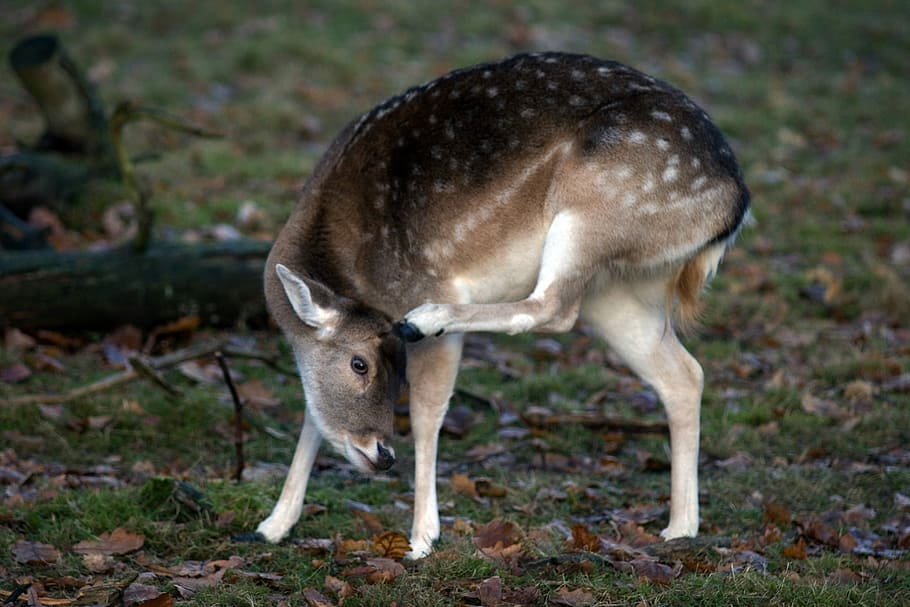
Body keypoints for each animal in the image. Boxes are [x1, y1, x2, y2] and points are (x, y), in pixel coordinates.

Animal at [255, 52, 750, 559]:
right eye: (361, 363)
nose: (382, 454)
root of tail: (735, 204)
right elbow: (312, 414)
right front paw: (273, 524)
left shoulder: (429, 280)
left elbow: (428, 413)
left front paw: (422, 538)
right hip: (617, 290)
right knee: (684, 374)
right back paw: (680, 526)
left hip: (593, 209)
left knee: (554, 307)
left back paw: (428, 318)